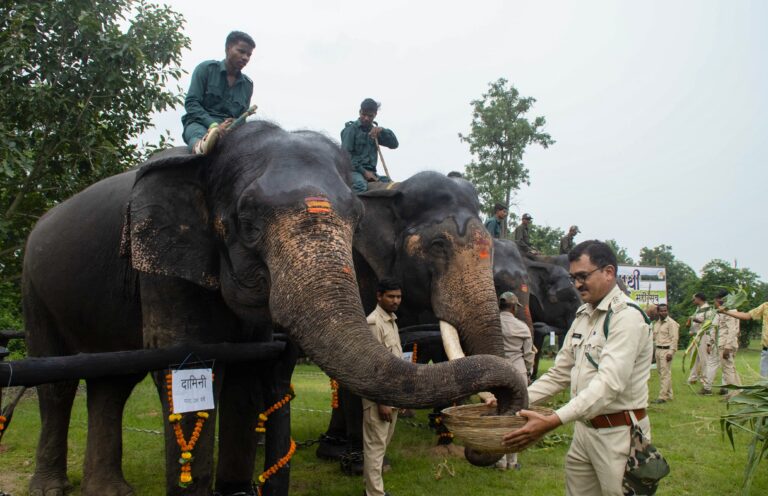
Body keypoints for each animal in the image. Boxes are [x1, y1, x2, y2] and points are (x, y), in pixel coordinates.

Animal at [24, 121, 528, 496]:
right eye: (439, 246)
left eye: (356, 220)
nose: (498, 415)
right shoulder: (164, 269)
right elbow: (182, 363)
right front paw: (349, 459)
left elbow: (248, 373)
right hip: (35, 288)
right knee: (57, 382)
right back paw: (50, 486)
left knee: (111, 382)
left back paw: (109, 490)